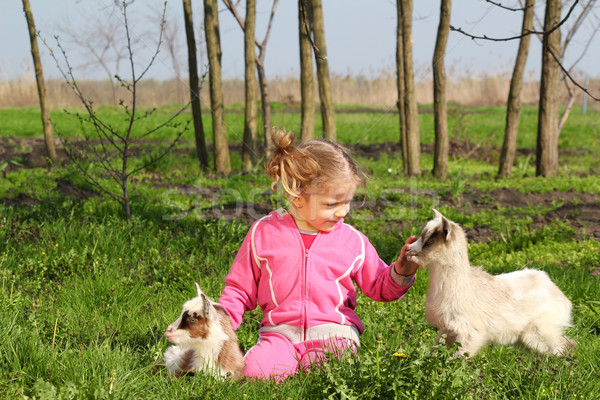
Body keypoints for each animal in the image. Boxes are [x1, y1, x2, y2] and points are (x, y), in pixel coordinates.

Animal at [408, 209, 572, 356]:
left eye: (430, 241)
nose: (408, 250)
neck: (462, 285)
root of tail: (562, 296)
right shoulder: (447, 329)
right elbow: (435, 349)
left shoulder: (470, 332)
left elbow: (457, 358)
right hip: (527, 340)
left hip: (540, 333)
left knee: (565, 348)